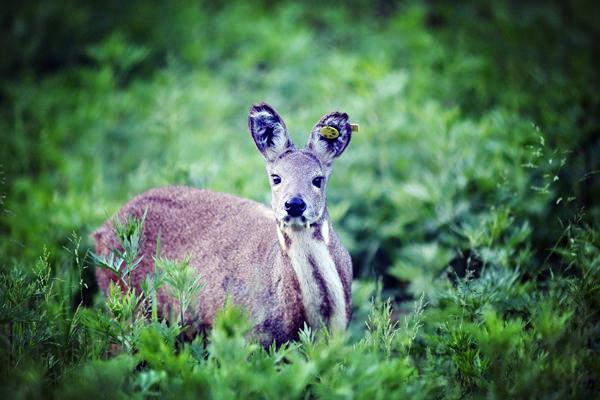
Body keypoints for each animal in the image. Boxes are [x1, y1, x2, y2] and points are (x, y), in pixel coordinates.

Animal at [94, 103, 356, 346]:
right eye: (276, 178)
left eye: (318, 179)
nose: (294, 204)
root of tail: (102, 229)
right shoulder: (252, 335)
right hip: (126, 300)